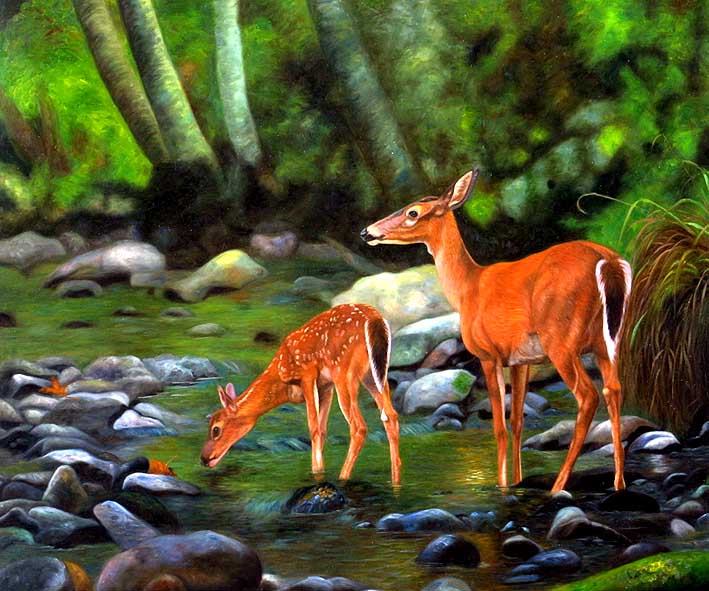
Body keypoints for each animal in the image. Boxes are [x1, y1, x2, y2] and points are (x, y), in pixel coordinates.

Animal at [200, 304, 402, 485]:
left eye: (215, 429)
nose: (203, 458)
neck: (281, 376)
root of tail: (375, 319)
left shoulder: (307, 374)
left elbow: (313, 427)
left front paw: (317, 472)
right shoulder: (325, 386)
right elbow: (322, 428)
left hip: (343, 371)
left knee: (359, 427)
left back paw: (343, 477)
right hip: (373, 375)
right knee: (391, 416)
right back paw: (396, 480)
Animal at [361, 170, 632, 493]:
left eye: (413, 212)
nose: (367, 231)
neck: (468, 289)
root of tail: (608, 262)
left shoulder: (487, 354)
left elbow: (499, 427)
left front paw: (502, 485)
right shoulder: (521, 360)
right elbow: (517, 422)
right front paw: (516, 481)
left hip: (561, 339)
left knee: (588, 396)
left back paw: (558, 485)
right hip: (609, 339)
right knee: (613, 390)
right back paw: (618, 482)